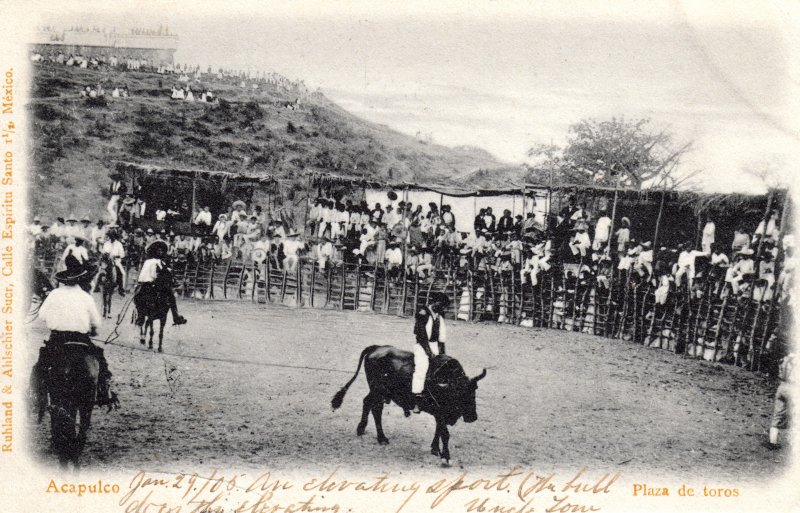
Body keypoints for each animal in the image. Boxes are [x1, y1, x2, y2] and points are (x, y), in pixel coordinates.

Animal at [332, 346, 488, 462]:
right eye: (458, 393)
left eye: (474, 391)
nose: (472, 417)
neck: (444, 381)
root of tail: (376, 348)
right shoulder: (440, 412)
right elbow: (445, 433)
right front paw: (446, 456)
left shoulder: (440, 414)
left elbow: (438, 430)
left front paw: (435, 449)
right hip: (378, 391)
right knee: (376, 409)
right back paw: (382, 438)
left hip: (377, 392)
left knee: (367, 402)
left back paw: (361, 429)